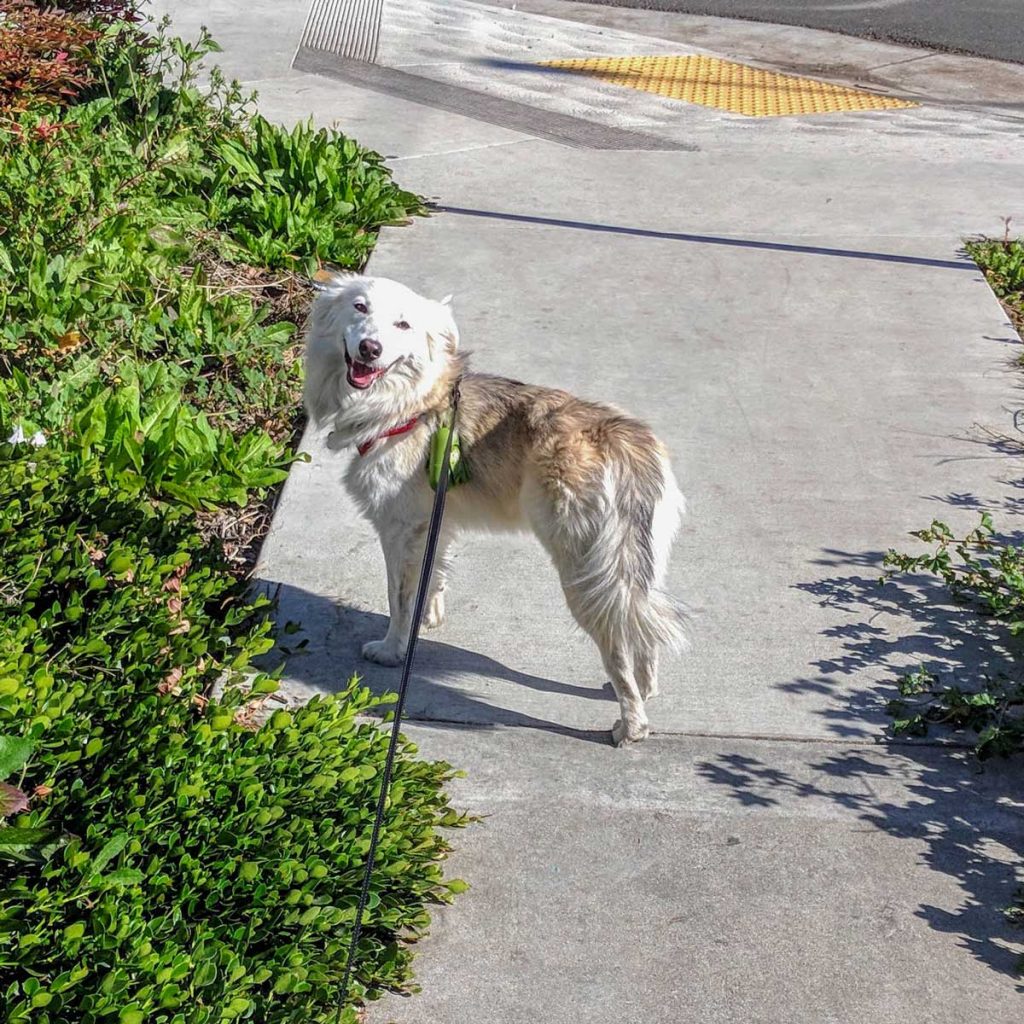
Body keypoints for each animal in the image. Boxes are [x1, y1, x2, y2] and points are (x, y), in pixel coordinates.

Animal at [303, 272, 688, 745]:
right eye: (359, 307)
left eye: (403, 325)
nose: (369, 349)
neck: (412, 400)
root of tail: (622, 440)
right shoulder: (435, 523)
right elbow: (433, 579)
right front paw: (427, 621)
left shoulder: (400, 529)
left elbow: (399, 599)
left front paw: (394, 649)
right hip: (634, 564)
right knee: (642, 626)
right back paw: (646, 688)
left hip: (586, 571)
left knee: (618, 646)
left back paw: (631, 725)